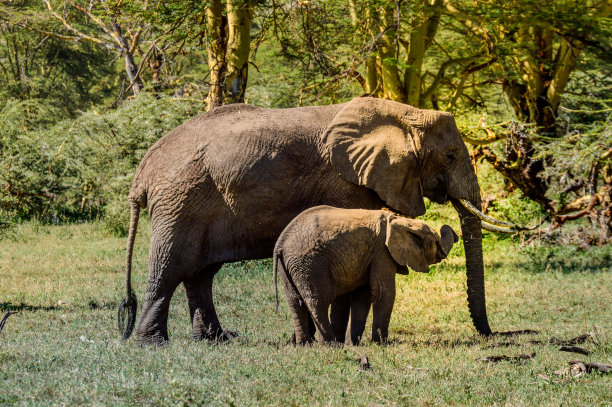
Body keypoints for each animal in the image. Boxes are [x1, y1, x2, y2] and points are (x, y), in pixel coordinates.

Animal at [274, 207, 456, 344]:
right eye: (436, 242)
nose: (454, 234)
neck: (400, 221)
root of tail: (281, 244)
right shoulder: (382, 252)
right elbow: (383, 293)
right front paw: (381, 344)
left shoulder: (369, 256)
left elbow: (363, 296)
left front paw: (352, 344)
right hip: (311, 263)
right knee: (319, 300)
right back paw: (330, 345)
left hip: (291, 266)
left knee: (294, 302)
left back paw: (303, 344)